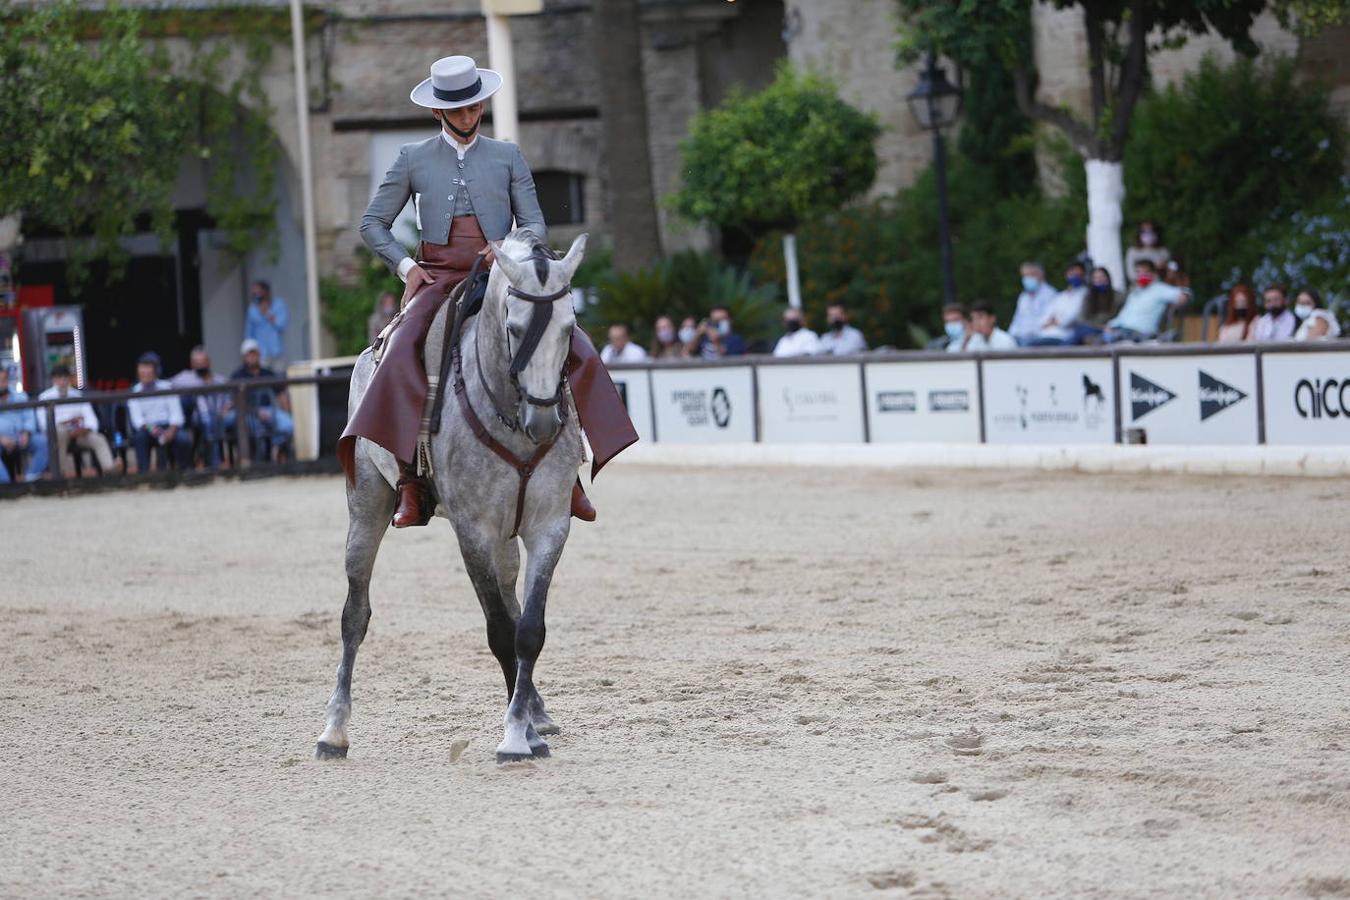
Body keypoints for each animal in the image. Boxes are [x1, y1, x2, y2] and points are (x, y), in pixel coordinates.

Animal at [318, 230, 594, 761]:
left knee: (512, 601)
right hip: (366, 504)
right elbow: (501, 633)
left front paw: (525, 726)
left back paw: (537, 711)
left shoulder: (549, 525)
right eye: (513, 327)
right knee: (354, 614)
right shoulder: (473, 532)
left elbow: (529, 629)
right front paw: (515, 737)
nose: (545, 421)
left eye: (569, 327)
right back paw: (333, 731)